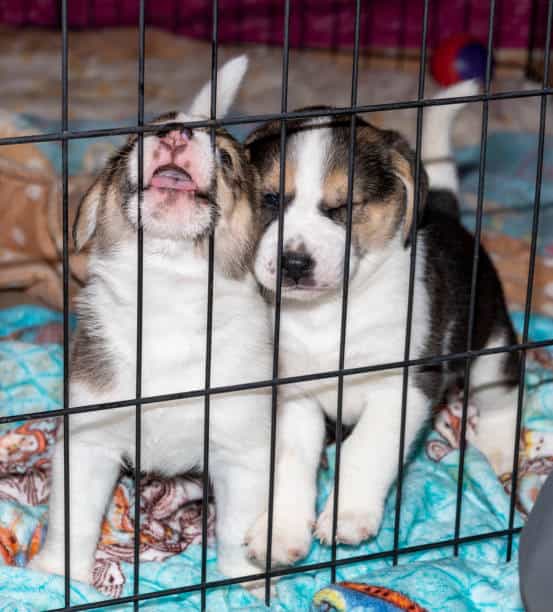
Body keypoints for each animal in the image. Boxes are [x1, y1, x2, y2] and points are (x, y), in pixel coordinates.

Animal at [29, 58, 272, 588]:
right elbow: (73, 519)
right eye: (141, 135)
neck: (167, 293)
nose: (176, 133)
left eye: (226, 158)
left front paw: (241, 578)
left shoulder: (240, 447)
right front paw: (56, 575)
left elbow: (237, 524)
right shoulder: (88, 437)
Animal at [244, 79, 520, 568]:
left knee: (504, 398)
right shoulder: (293, 394)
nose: (294, 263)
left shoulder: (404, 385)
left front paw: (348, 513)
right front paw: (280, 529)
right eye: (271, 199)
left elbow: (366, 448)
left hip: (492, 349)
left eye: (345, 206)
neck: (327, 314)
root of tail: (448, 214)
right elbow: (290, 461)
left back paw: (501, 454)